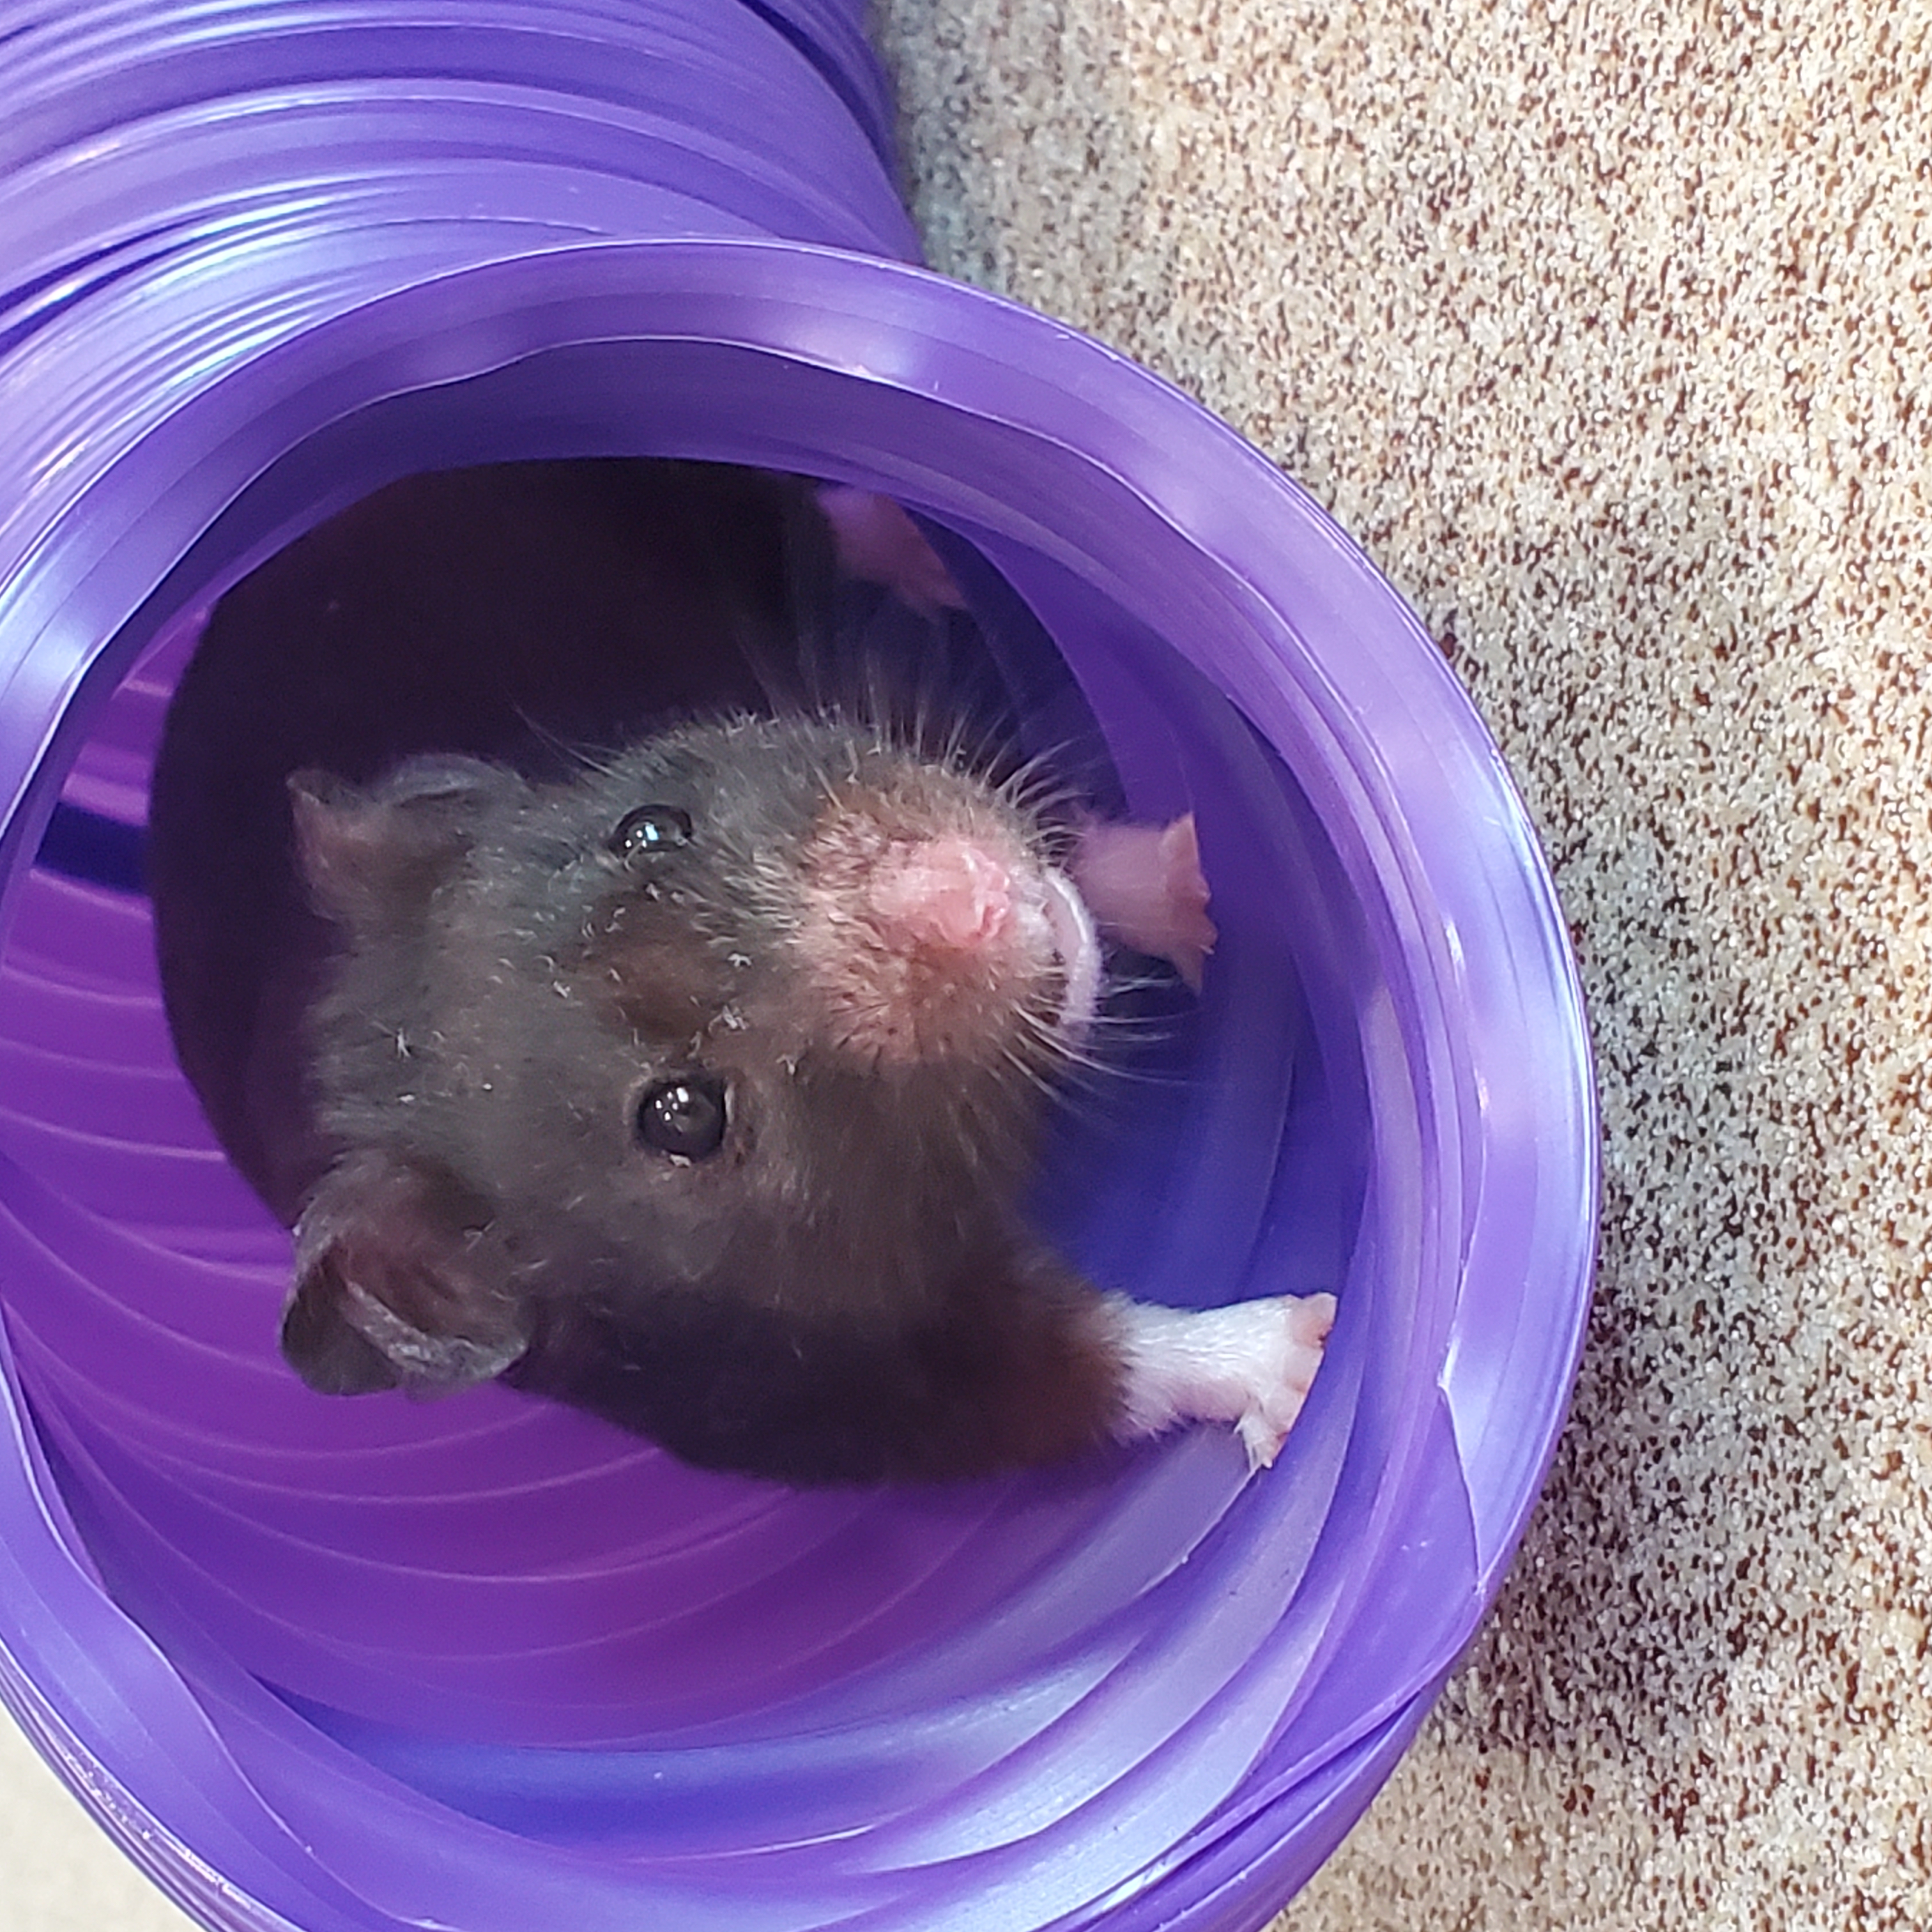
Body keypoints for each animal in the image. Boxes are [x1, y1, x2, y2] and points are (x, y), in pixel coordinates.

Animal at [148, 459, 1333, 1484]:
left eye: (649, 828)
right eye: (683, 1116)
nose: (964, 892)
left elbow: (1066, 847)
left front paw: (1193, 883)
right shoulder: (813, 1394)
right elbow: (1087, 1369)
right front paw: (1301, 1354)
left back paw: (925, 552)